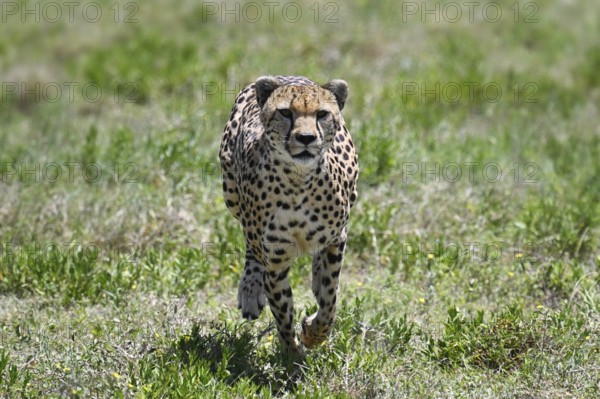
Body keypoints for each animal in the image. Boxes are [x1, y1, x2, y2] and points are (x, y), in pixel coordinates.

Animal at [221, 76, 358, 354]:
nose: (305, 137)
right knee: (251, 247)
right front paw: (292, 355)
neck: (298, 181)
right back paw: (250, 292)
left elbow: (330, 297)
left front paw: (313, 334)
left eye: (321, 114)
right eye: (285, 112)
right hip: (231, 195)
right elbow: (282, 311)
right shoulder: (275, 261)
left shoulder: (336, 239)